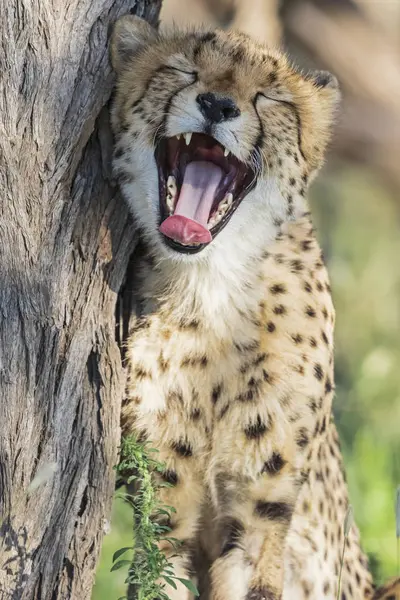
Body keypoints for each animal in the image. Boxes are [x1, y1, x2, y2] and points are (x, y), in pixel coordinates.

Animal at [109, 14, 400, 600]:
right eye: (184, 69)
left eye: (269, 97)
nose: (218, 105)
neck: (210, 286)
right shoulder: (164, 512)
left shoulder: (260, 512)